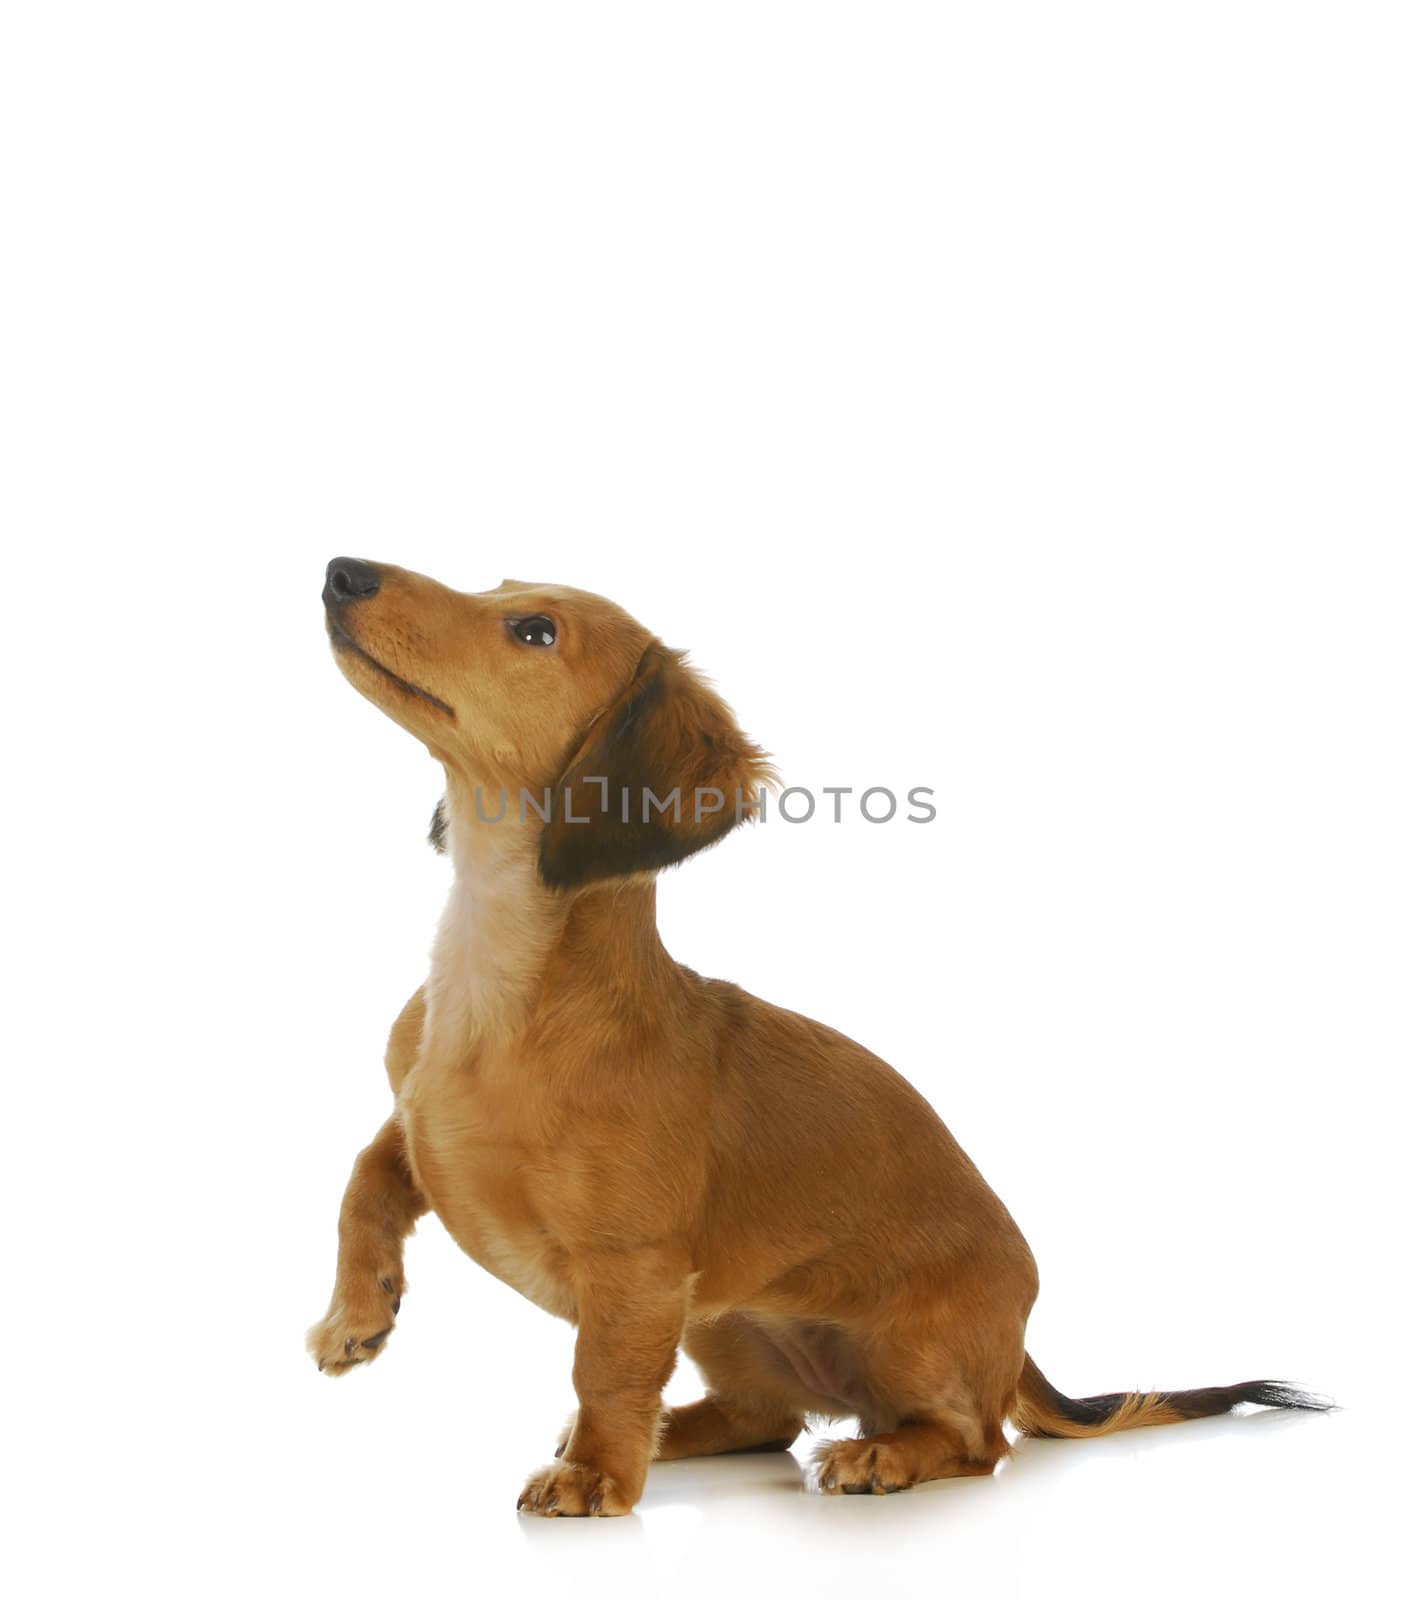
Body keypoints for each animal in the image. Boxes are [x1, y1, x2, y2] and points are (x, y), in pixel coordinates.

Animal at [308, 560, 1324, 1510]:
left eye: (532, 630)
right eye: (501, 587)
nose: (341, 571)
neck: (498, 986)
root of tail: (1019, 1344)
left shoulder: (636, 1273)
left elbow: (605, 1371)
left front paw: (596, 1476)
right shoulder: (417, 1131)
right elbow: (363, 1180)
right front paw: (358, 1312)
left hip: (902, 1345)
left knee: (973, 1440)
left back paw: (878, 1457)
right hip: (722, 1319)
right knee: (768, 1418)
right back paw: (676, 1433)